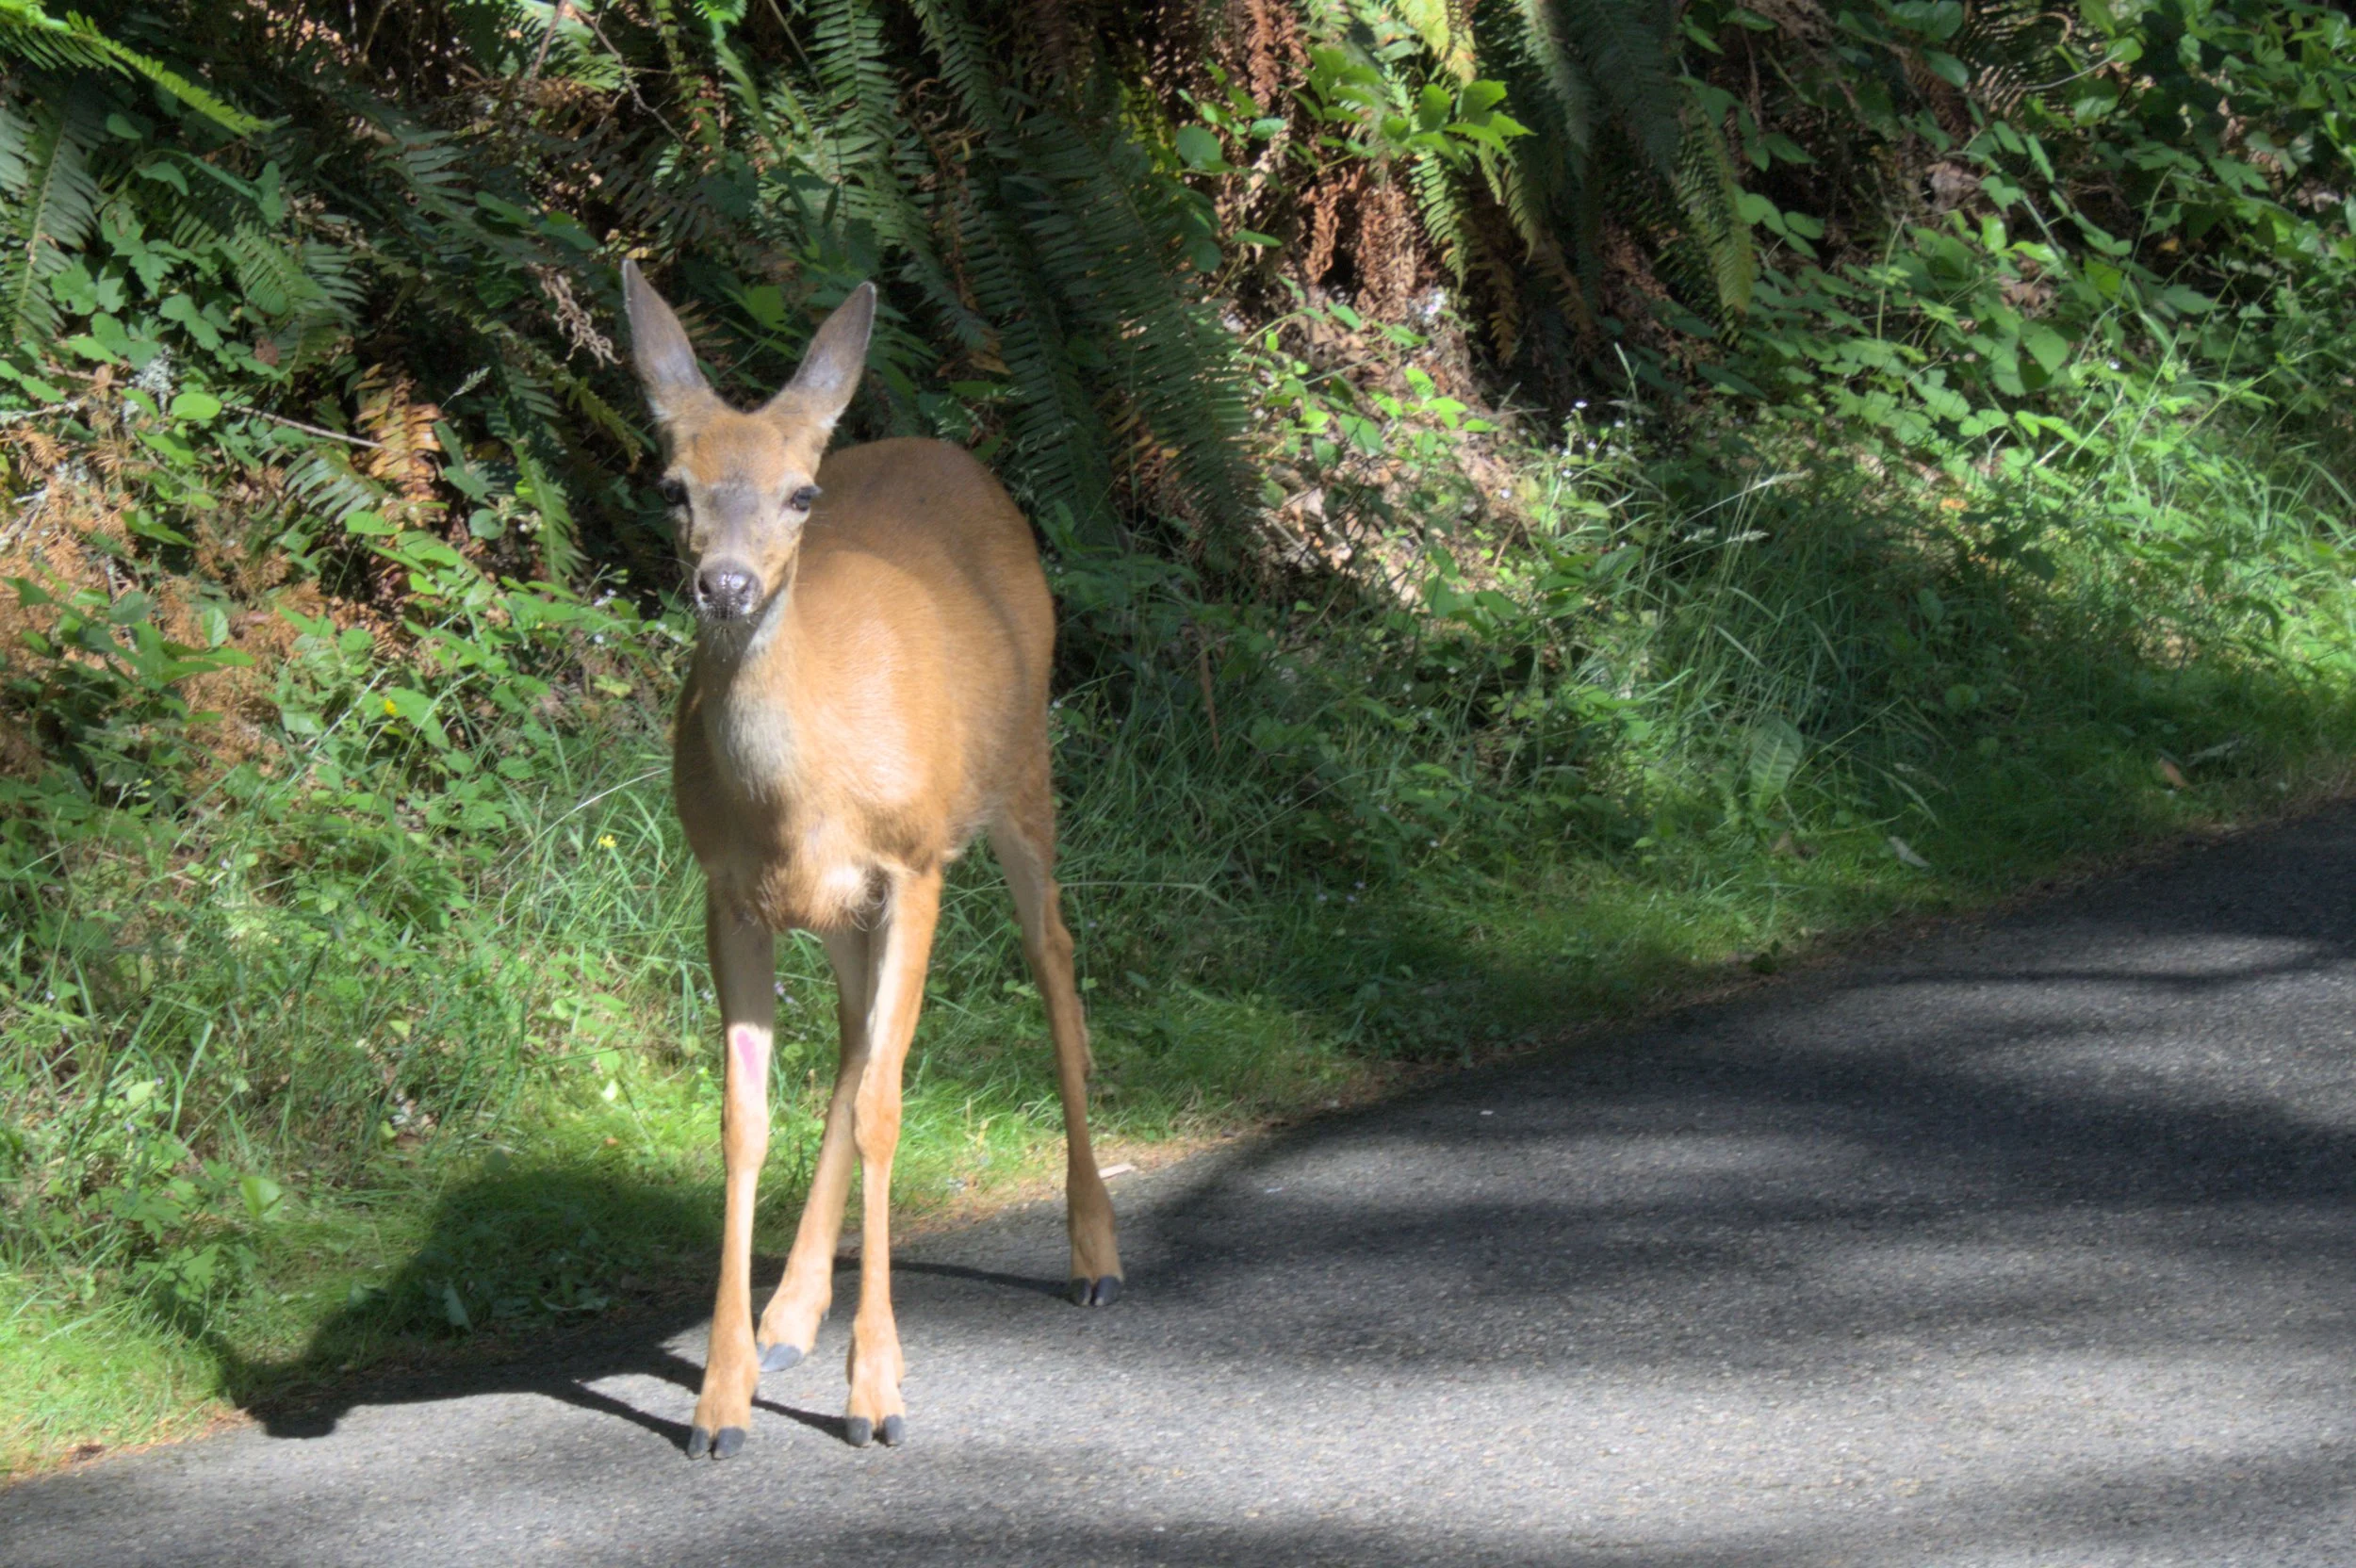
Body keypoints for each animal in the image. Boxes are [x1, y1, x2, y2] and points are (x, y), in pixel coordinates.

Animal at [620, 262, 1123, 1459]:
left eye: (799, 495)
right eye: (673, 486)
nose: (726, 586)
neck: (794, 798)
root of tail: (955, 455)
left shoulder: (912, 862)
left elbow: (891, 1105)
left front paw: (879, 1393)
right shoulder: (726, 890)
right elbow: (745, 1118)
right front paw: (720, 1400)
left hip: (1019, 777)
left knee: (1054, 958)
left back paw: (1093, 1252)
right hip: (844, 909)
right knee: (854, 1040)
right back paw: (790, 1313)